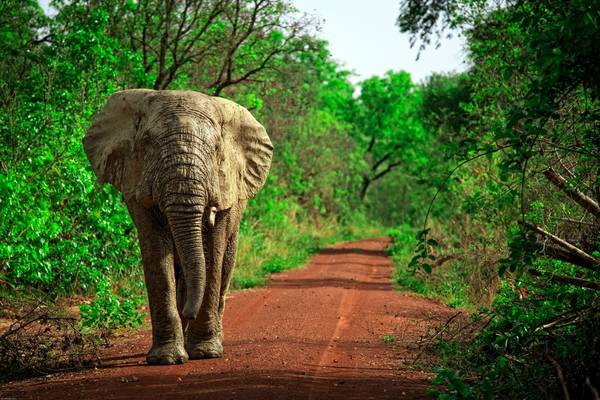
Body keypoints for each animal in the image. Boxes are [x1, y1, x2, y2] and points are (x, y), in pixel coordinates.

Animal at [82, 89, 274, 364]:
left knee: (224, 266)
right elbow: (157, 255)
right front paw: (166, 359)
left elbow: (212, 255)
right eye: (148, 142)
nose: (188, 312)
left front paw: (205, 353)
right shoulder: (135, 180)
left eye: (216, 148)